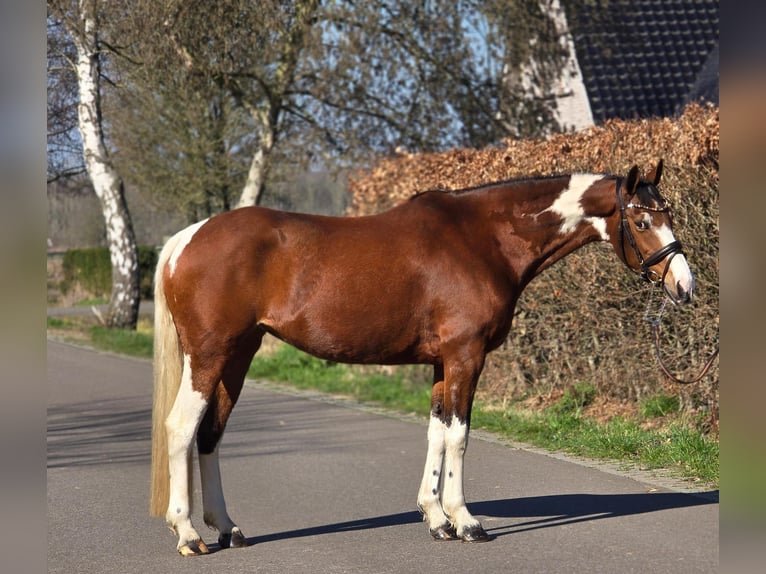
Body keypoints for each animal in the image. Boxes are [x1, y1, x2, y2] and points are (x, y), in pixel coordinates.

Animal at [149, 161, 694, 556]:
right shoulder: (465, 357)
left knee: (211, 433)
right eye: (642, 220)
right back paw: (188, 534)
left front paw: (436, 519)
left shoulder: (441, 362)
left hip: (237, 357)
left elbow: (436, 431)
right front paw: (466, 520)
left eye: (669, 215)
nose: (684, 286)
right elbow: (459, 436)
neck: (483, 238)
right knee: (181, 428)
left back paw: (228, 528)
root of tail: (186, 239)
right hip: (209, 356)